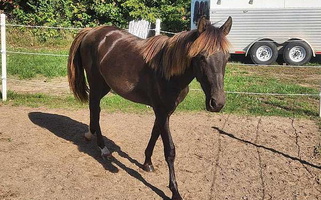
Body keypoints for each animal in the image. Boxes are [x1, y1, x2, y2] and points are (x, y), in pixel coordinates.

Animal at [68, 16, 230, 200]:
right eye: (202, 56)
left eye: (227, 57)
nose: (217, 103)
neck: (168, 72)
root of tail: (91, 31)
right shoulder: (162, 111)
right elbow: (170, 150)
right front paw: (175, 191)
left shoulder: (165, 112)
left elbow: (154, 134)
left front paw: (147, 163)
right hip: (96, 83)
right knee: (95, 109)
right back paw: (103, 149)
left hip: (104, 86)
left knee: (94, 108)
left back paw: (90, 133)